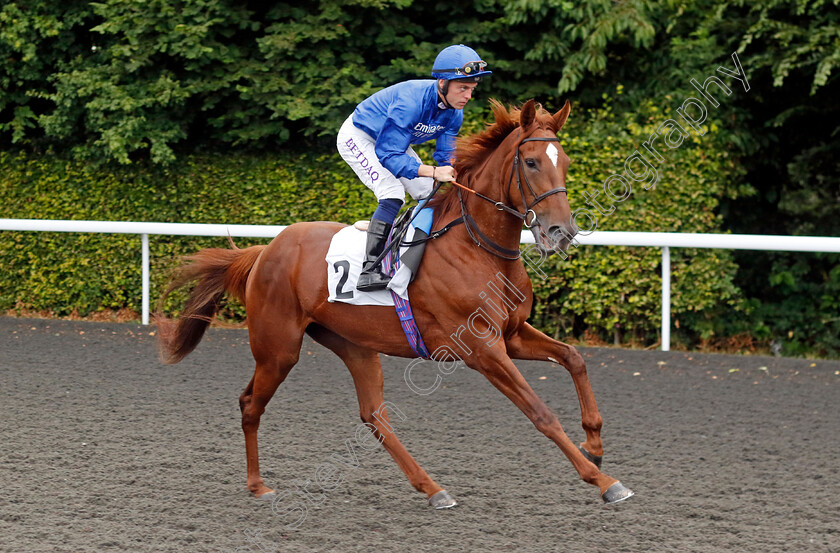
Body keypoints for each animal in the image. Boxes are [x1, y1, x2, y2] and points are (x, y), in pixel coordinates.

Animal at [156, 99, 632, 508]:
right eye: (531, 162)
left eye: (564, 162)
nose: (561, 232)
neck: (476, 246)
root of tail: (264, 250)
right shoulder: (482, 348)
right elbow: (541, 413)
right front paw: (603, 480)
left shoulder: (511, 335)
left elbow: (573, 358)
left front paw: (594, 445)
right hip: (278, 349)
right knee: (250, 403)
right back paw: (257, 485)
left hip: (354, 344)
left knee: (373, 416)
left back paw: (433, 488)